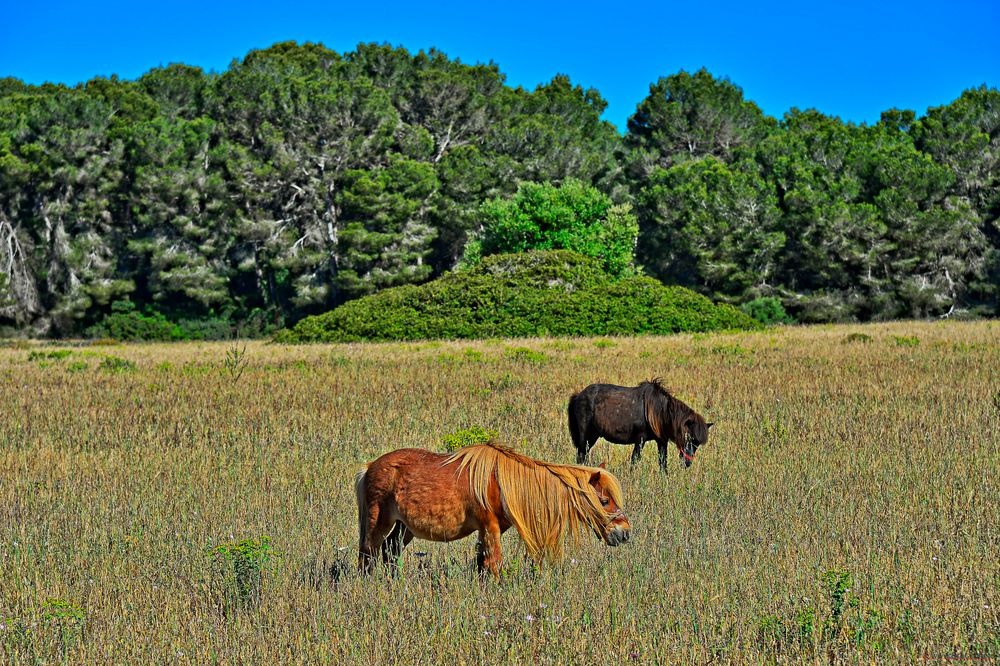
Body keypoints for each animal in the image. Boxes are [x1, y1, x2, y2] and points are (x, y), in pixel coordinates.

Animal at [356, 440, 628, 576]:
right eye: (605, 501)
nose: (624, 532)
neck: (501, 484)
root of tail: (369, 467)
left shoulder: (486, 531)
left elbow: (482, 562)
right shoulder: (490, 527)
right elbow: (494, 562)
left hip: (404, 528)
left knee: (390, 551)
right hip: (379, 521)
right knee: (368, 552)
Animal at [572, 376, 712, 470]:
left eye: (698, 443)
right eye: (688, 437)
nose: (687, 464)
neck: (660, 411)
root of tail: (578, 395)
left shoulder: (662, 441)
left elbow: (663, 462)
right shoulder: (640, 440)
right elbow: (635, 460)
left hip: (593, 436)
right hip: (585, 436)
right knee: (581, 456)